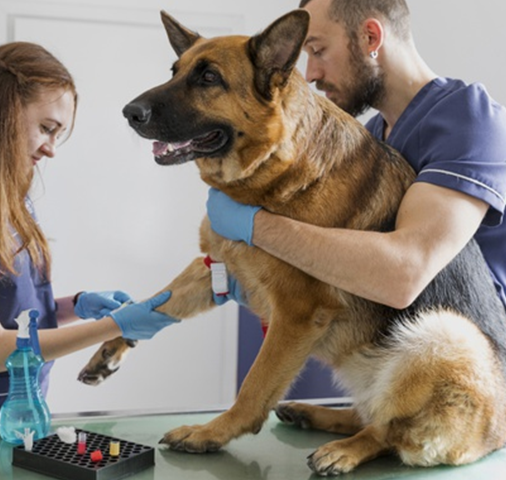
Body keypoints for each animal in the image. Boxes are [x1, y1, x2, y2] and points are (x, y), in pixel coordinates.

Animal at [79, 9, 506, 474]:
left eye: (208, 78)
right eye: (174, 72)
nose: (128, 112)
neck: (276, 169)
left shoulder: (296, 314)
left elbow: (254, 386)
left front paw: (211, 433)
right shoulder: (217, 266)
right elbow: (156, 300)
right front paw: (113, 337)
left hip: (442, 332)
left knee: (388, 431)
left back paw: (346, 448)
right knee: (371, 412)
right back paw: (315, 414)